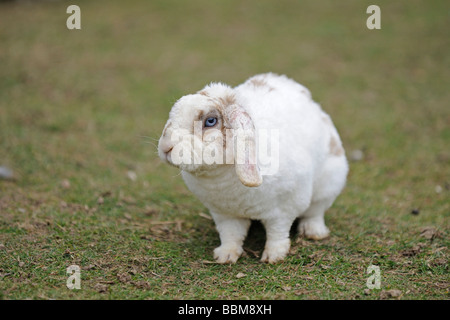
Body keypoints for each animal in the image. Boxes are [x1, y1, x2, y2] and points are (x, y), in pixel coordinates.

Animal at [158, 74, 348, 264]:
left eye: (210, 121)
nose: (166, 147)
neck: (221, 178)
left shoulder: (283, 210)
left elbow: (277, 233)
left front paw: (273, 256)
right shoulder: (224, 214)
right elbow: (231, 235)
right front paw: (225, 256)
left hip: (327, 186)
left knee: (315, 212)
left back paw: (314, 232)